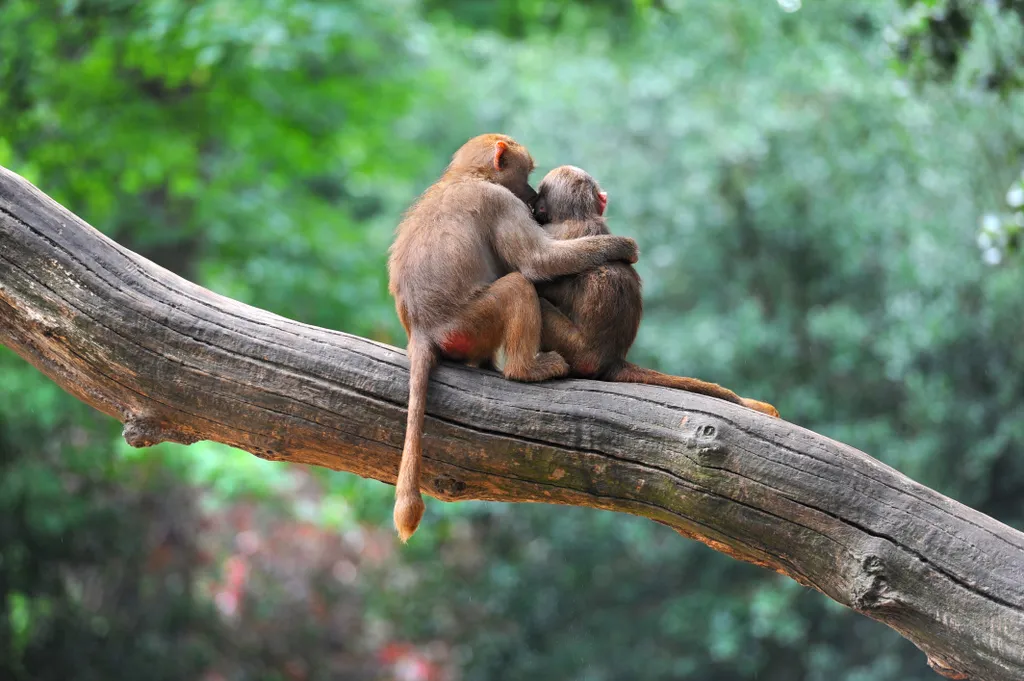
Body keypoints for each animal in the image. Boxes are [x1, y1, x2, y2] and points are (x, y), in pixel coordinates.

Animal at [385, 134, 634, 540]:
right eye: (527, 174)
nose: (532, 198)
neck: (467, 176)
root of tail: (421, 329)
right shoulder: (500, 202)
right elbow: (536, 263)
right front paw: (624, 247)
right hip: (468, 324)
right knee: (518, 285)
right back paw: (526, 369)